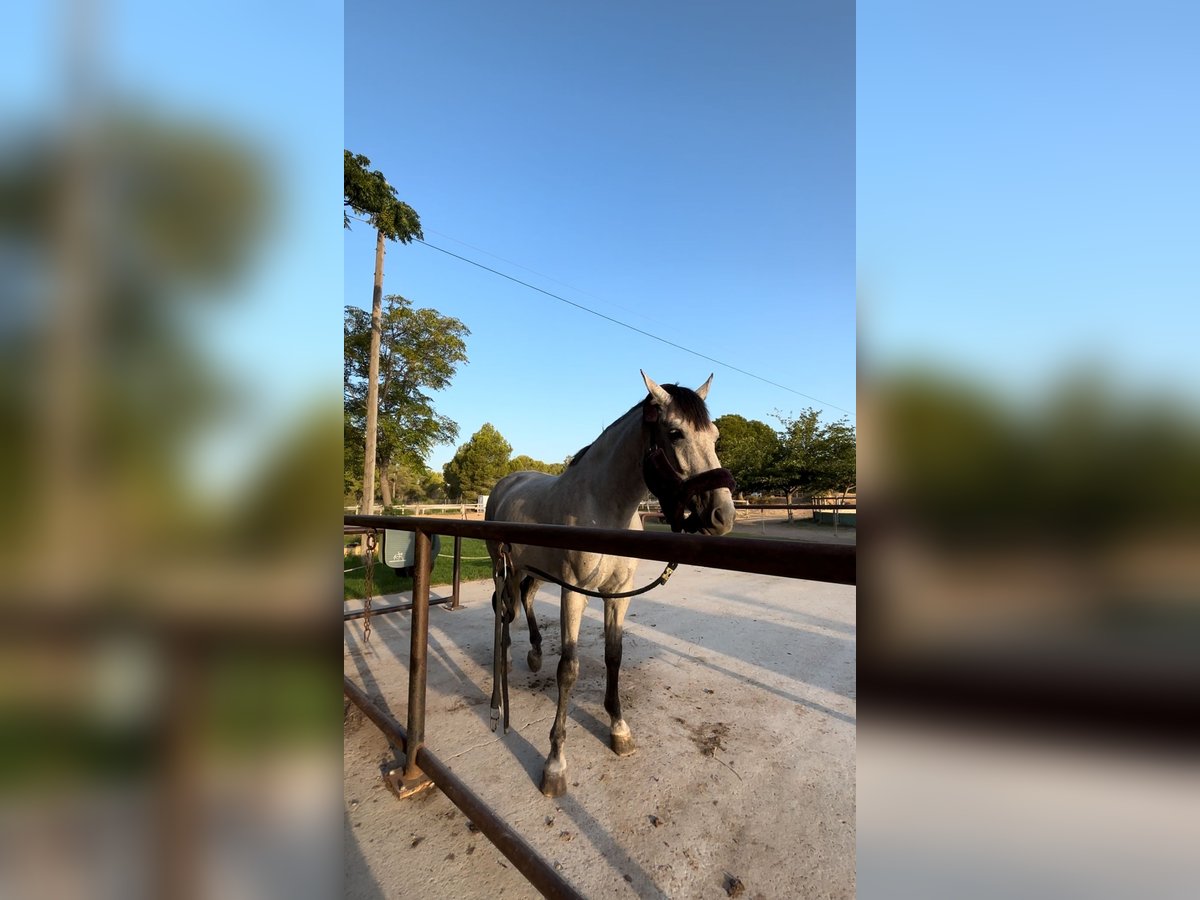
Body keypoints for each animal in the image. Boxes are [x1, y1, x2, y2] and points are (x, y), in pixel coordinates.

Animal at [482, 369, 734, 801]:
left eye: (715, 435)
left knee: (522, 602)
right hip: (508, 566)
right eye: (675, 433)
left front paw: (619, 729)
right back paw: (507, 668)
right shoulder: (573, 593)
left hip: (532, 570)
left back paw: (533, 653)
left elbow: (613, 655)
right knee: (504, 609)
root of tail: (506, 483)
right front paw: (555, 764)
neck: (603, 509)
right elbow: (569, 669)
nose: (723, 514)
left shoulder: (617, 595)